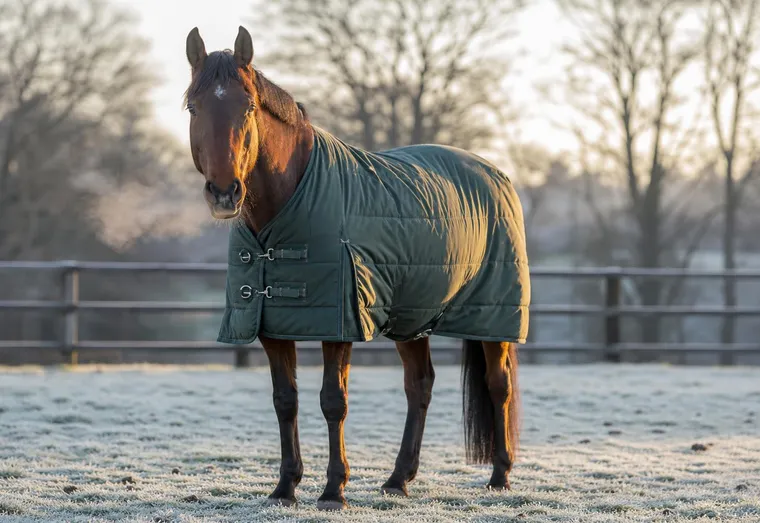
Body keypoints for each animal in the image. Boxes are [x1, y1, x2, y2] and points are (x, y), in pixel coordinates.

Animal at [184, 26, 529, 510]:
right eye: (193, 107)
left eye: (247, 106)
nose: (223, 193)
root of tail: (497, 175)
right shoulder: (271, 324)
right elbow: (285, 400)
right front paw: (285, 487)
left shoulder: (339, 323)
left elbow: (334, 401)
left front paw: (333, 490)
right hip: (412, 318)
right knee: (419, 385)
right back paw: (398, 479)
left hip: (493, 317)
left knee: (499, 385)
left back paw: (499, 476)